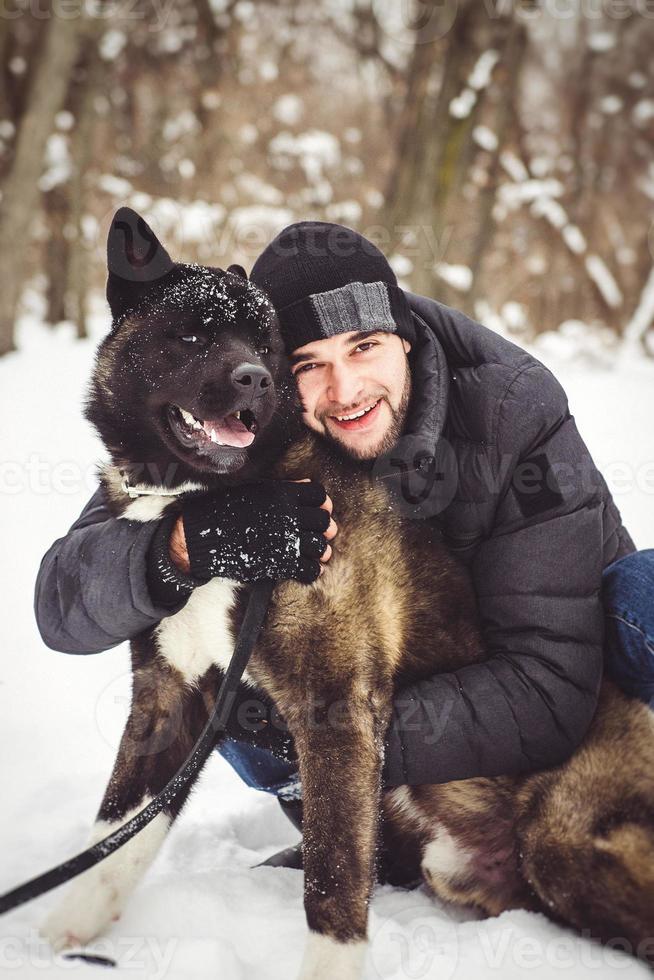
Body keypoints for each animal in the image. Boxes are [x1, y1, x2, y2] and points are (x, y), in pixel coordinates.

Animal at [43, 209, 654, 980]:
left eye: (266, 344)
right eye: (193, 335)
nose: (254, 378)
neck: (224, 501)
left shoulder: (333, 707)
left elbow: (332, 882)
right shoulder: (168, 696)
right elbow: (116, 833)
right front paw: (63, 932)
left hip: (561, 837)